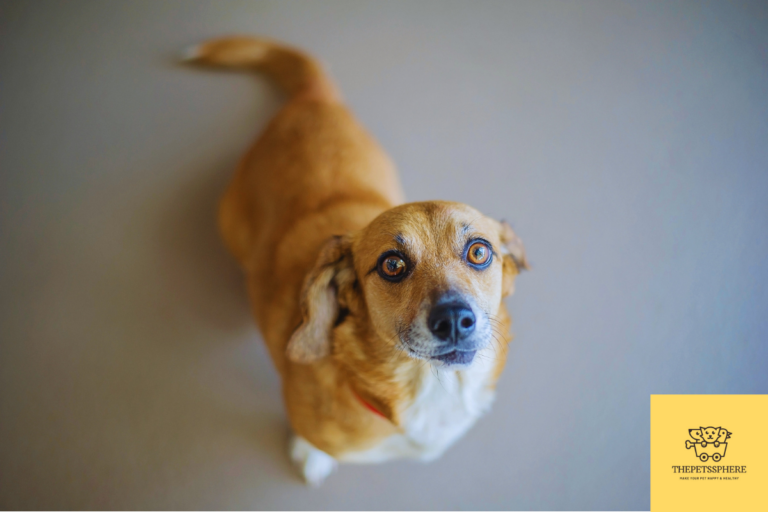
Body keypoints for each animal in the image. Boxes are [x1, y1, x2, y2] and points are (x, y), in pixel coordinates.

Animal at [184, 37, 528, 488]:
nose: (454, 319)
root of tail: (313, 98)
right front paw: (312, 454)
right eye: (392, 265)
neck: (427, 387)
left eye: (479, 252)